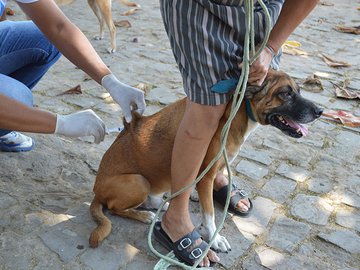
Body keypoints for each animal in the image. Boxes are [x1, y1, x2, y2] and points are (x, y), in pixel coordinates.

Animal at [88, 69, 324, 251]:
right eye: (285, 94)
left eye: (299, 91)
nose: (320, 111)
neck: (235, 111)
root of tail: (96, 192)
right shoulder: (207, 175)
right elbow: (209, 214)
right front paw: (215, 238)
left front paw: (192, 194)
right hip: (138, 181)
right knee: (114, 208)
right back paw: (143, 215)